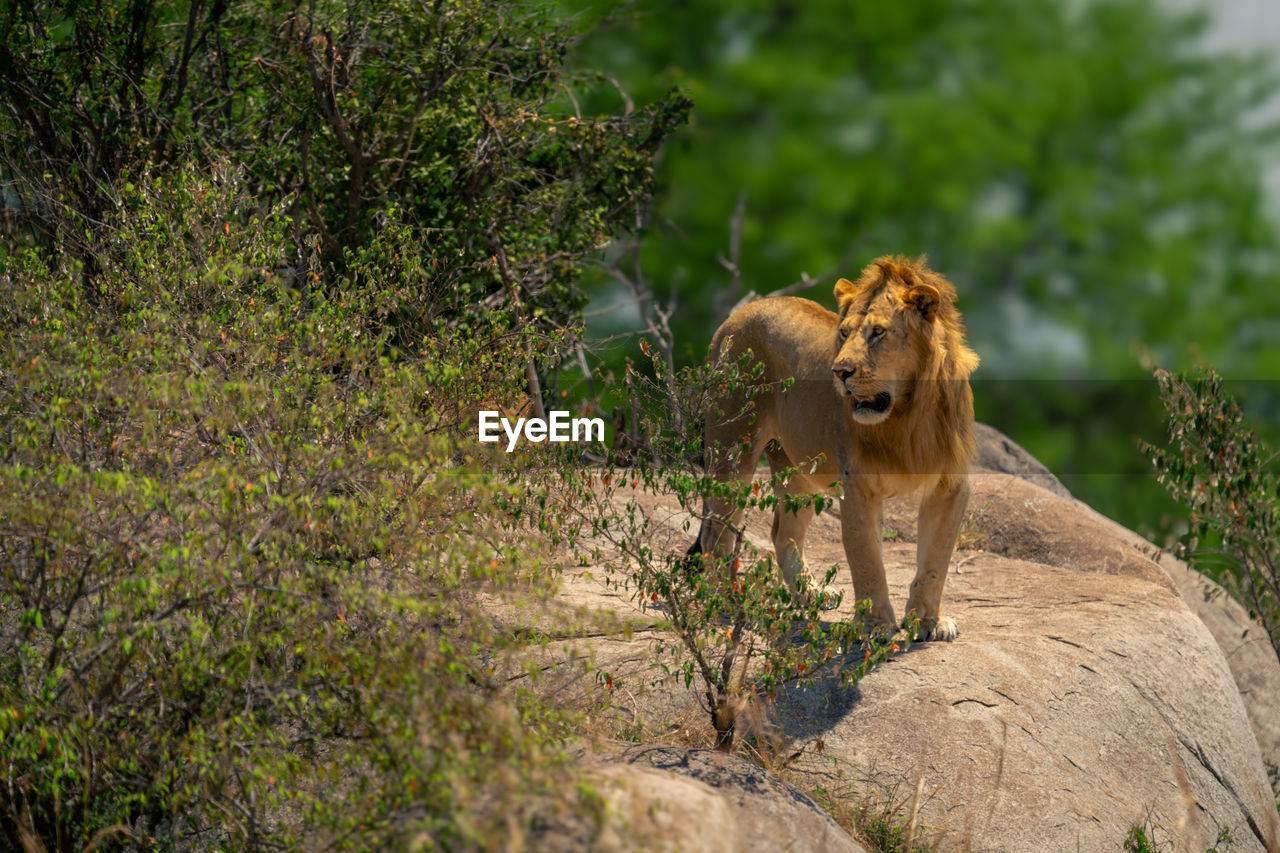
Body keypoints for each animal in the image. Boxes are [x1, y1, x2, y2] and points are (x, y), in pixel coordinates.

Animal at [691, 252, 977, 637]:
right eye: (844, 333)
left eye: (878, 332)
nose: (839, 372)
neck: (907, 415)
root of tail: (738, 314)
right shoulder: (857, 483)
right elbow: (866, 556)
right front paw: (874, 626)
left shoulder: (950, 482)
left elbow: (936, 559)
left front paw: (928, 621)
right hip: (733, 448)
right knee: (714, 532)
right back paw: (724, 600)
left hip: (798, 471)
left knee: (783, 532)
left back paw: (811, 593)